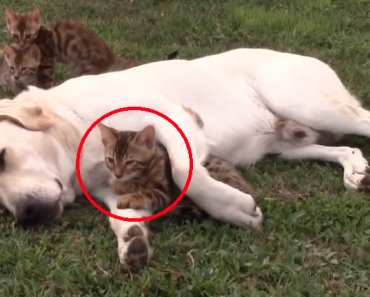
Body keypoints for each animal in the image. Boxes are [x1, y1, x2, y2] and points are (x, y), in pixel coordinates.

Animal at [3, 6, 179, 89]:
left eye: (28, 35)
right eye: (15, 35)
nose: (22, 44)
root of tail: (109, 54)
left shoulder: (47, 64)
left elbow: (44, 85)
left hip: (85, 70)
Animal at [97, 122, 256, 222]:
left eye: (130, 162)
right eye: (110, 160)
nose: (117, 174)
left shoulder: (165, 191)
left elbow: (147, 191)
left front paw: (128, 195)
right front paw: (123, 184)